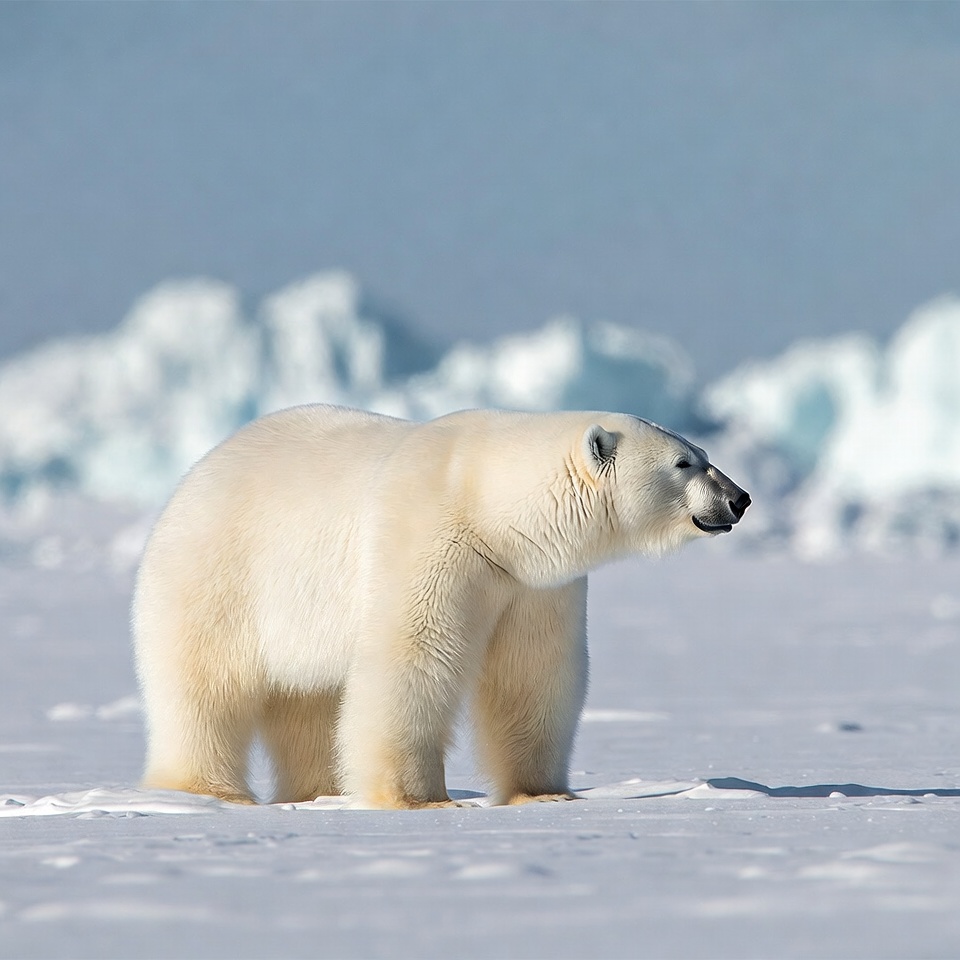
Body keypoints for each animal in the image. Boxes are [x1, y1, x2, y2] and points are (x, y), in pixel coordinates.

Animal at [133, 405, 749, 809]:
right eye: (684, 463)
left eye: (703, 454)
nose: (739, 498)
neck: (487, 505)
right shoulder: (432, 540)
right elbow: (413, 657)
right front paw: (421, 800)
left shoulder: (531, 582)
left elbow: (534, 673)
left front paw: (543, 794)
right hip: (218, 576)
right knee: (205, 687)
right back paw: (206, 790)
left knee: (309, 700)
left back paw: (319, 792)